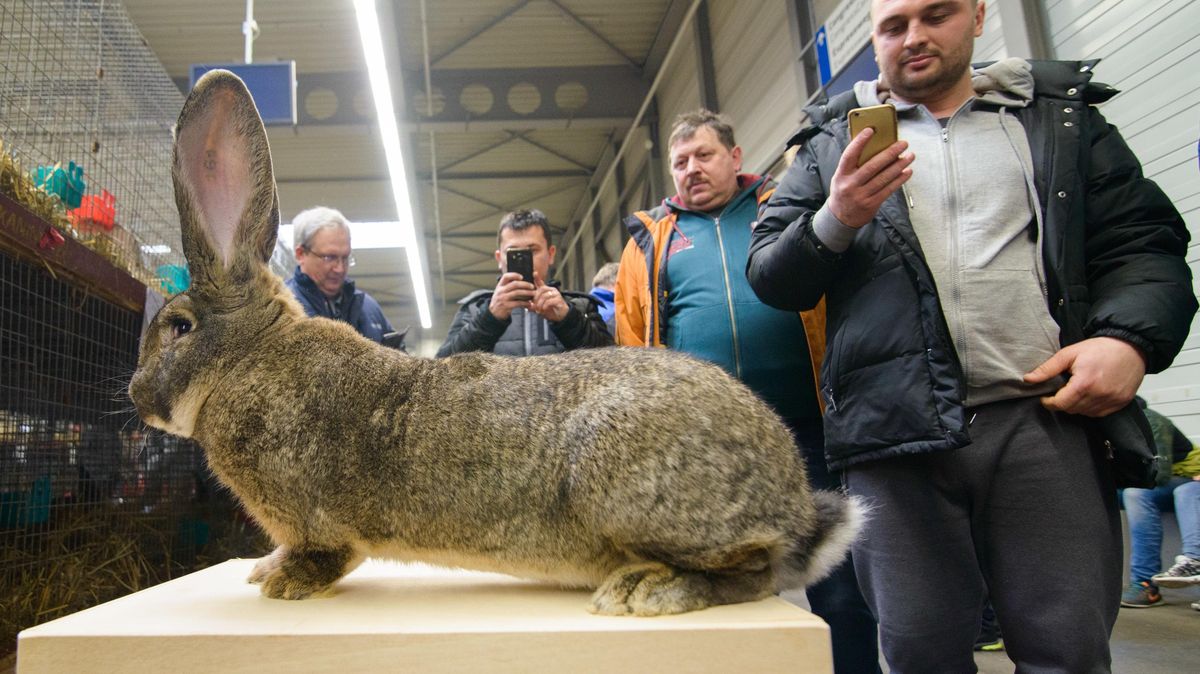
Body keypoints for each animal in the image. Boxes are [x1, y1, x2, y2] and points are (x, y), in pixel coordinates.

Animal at [129, 70, 864, 616]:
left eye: (179, 327)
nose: (136, 396)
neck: (248, 358)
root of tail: (797, 502)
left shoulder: (319, 521)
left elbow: (324, 554)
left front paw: (281, 581)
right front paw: (263, 570)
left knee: (757, 570)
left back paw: (648, 590)